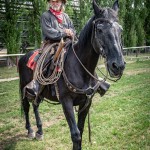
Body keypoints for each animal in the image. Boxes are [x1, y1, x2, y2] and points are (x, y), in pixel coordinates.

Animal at [17, 0, 125, 149]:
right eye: (99, 29)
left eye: (120, 29)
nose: (118, 65)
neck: (80, 68)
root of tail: (22, 57)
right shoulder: (66, 102)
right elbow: (76, 135)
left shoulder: (86, 102)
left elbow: (81, 130)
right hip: (24, 88)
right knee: (27, 107)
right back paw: (30, 130)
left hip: (38, 94)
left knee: (35, 105)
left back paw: (40, 131)